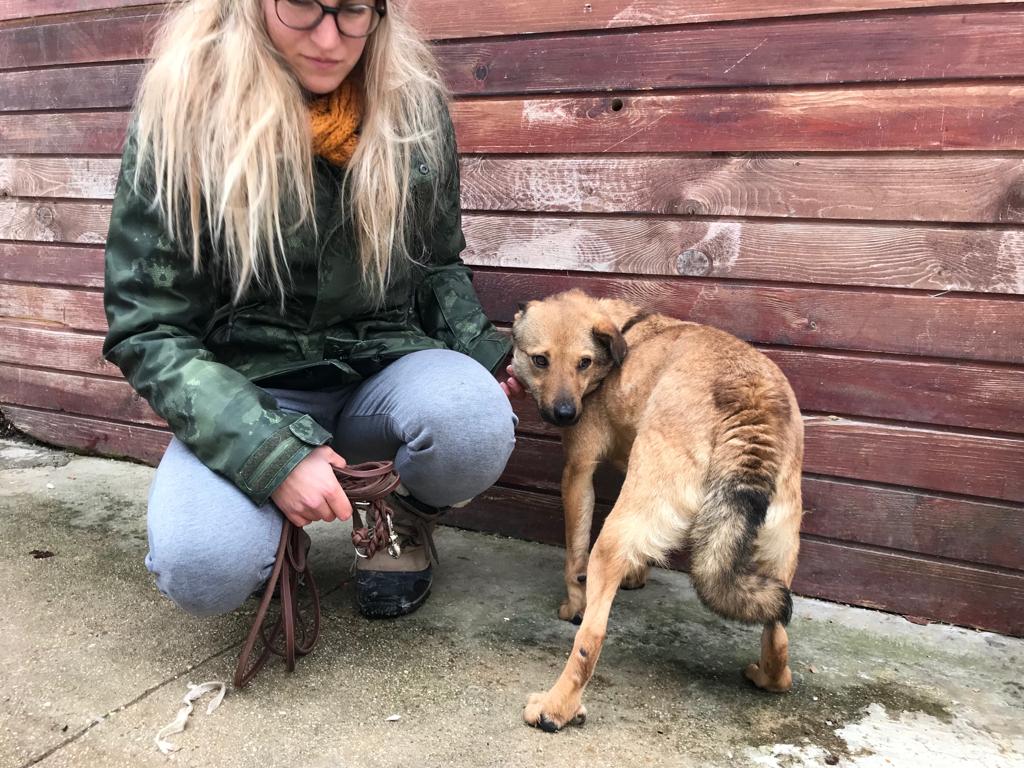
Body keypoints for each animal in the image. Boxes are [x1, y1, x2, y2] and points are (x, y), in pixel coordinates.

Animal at [507, 290, 802, 733]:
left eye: (583, 362)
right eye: (540, 360)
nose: (565, 414)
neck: (624, 333)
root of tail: (750, 404)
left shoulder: (577, 471)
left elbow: (574, 559)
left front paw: (575, 604)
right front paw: (637, 574)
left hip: (611, 540)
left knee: (589, 641)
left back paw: (556, 708)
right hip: (780, 552)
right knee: (778, 632)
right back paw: (769, 677)